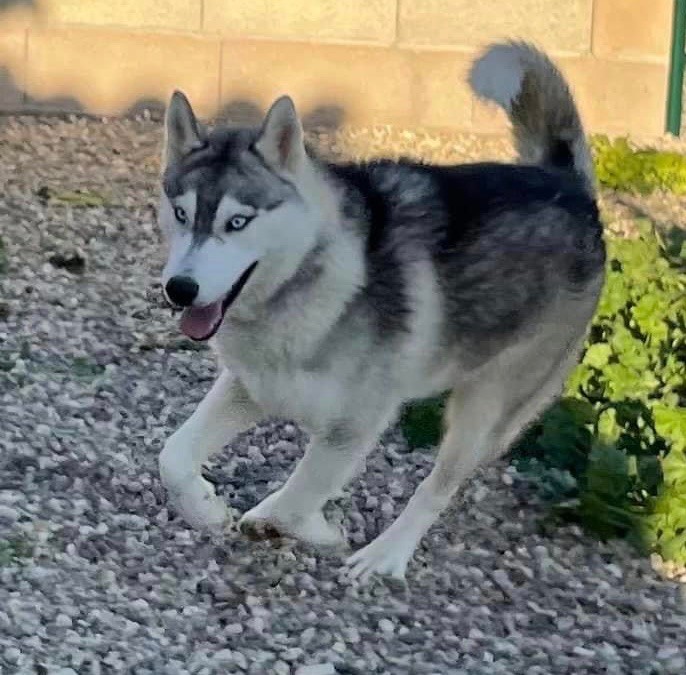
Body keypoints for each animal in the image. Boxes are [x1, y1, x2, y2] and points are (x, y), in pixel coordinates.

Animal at [157, 42, 608, 580]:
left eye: (238, 221)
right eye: (181, 214)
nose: (180, 289)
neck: (312, 278)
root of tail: (568, 186)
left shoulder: (355, 424)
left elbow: (300, 496)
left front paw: (308, 530)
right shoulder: (252, 388)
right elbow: (173, 456)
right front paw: (206, 508)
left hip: (485, 409)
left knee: (436, 488)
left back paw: (386, 555)